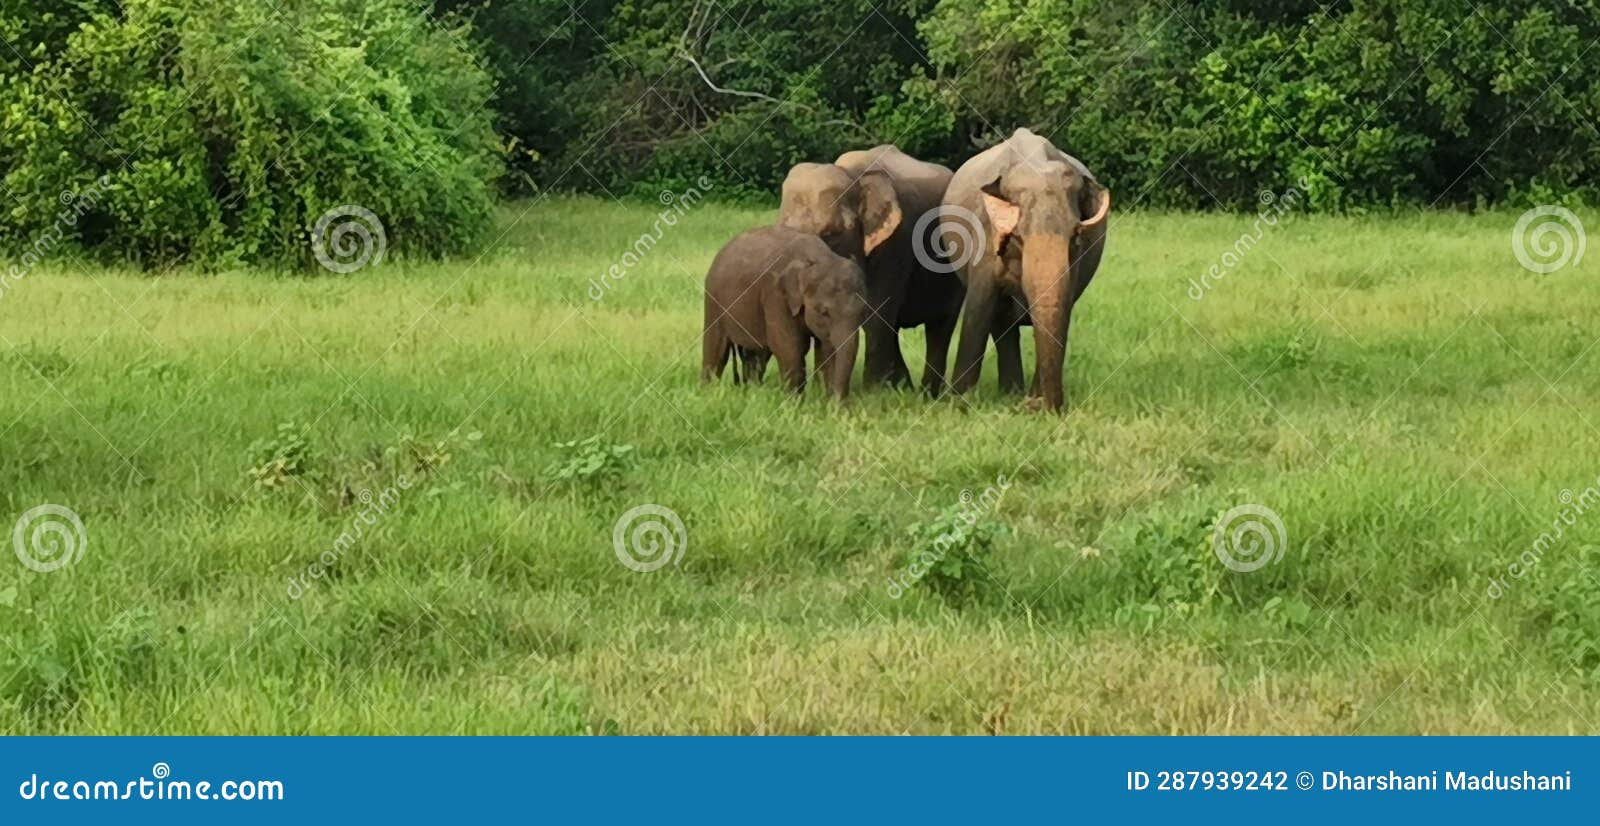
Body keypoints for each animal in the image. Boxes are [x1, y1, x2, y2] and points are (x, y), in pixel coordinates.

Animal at [702, 226, 868, 399]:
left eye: (863, 313)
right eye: (824, 312)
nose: (840, 401)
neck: (816, 259)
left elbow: (826, 348)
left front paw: (826, 402)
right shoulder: (775, 295)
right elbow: (788, 346)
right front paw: (794, 402)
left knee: (756, 355)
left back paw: (751, 391)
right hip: (713, 299)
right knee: (716, 349)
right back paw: (707, 392)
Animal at [778, 146, 965, 395]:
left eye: (832, 234)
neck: (853, 175)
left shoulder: (896, 243)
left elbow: (876, 312)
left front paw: (872, 393)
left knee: (941, 327)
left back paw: (926, 394)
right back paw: (903, 387)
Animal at [942, 128, 1110, 411]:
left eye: (1075, 236)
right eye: (1018, 236)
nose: (1037, 406)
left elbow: (1063, 306)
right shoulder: (984, 235)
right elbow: (980, 306)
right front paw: (959, 403)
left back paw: (1013, 393)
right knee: (1000, 322)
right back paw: (1009, 393)